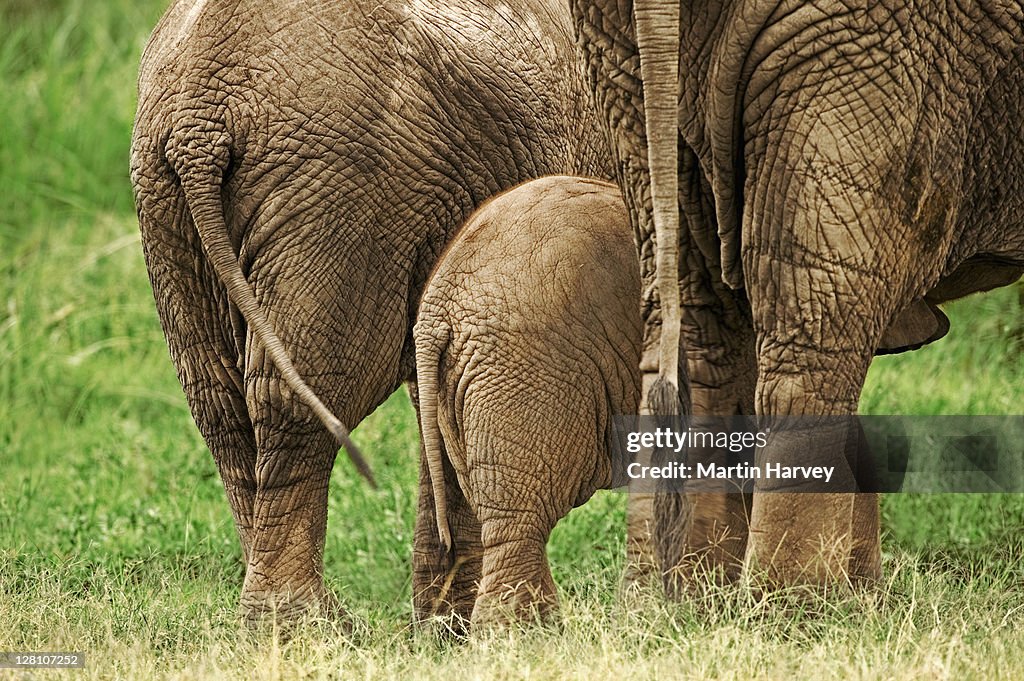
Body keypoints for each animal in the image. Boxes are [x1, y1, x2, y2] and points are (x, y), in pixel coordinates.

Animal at [128, 0, 610, 622]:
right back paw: (302, 623)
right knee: (302, 394)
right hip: (339, 192)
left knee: (218, 405)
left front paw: (446, 627)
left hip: (167, 200)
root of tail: (198, 118)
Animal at [573, 0, 1024, 585]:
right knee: (814, 330)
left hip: (618, 49)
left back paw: (679, 593)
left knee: (700, 324)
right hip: (871, 48)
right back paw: (792, 599)